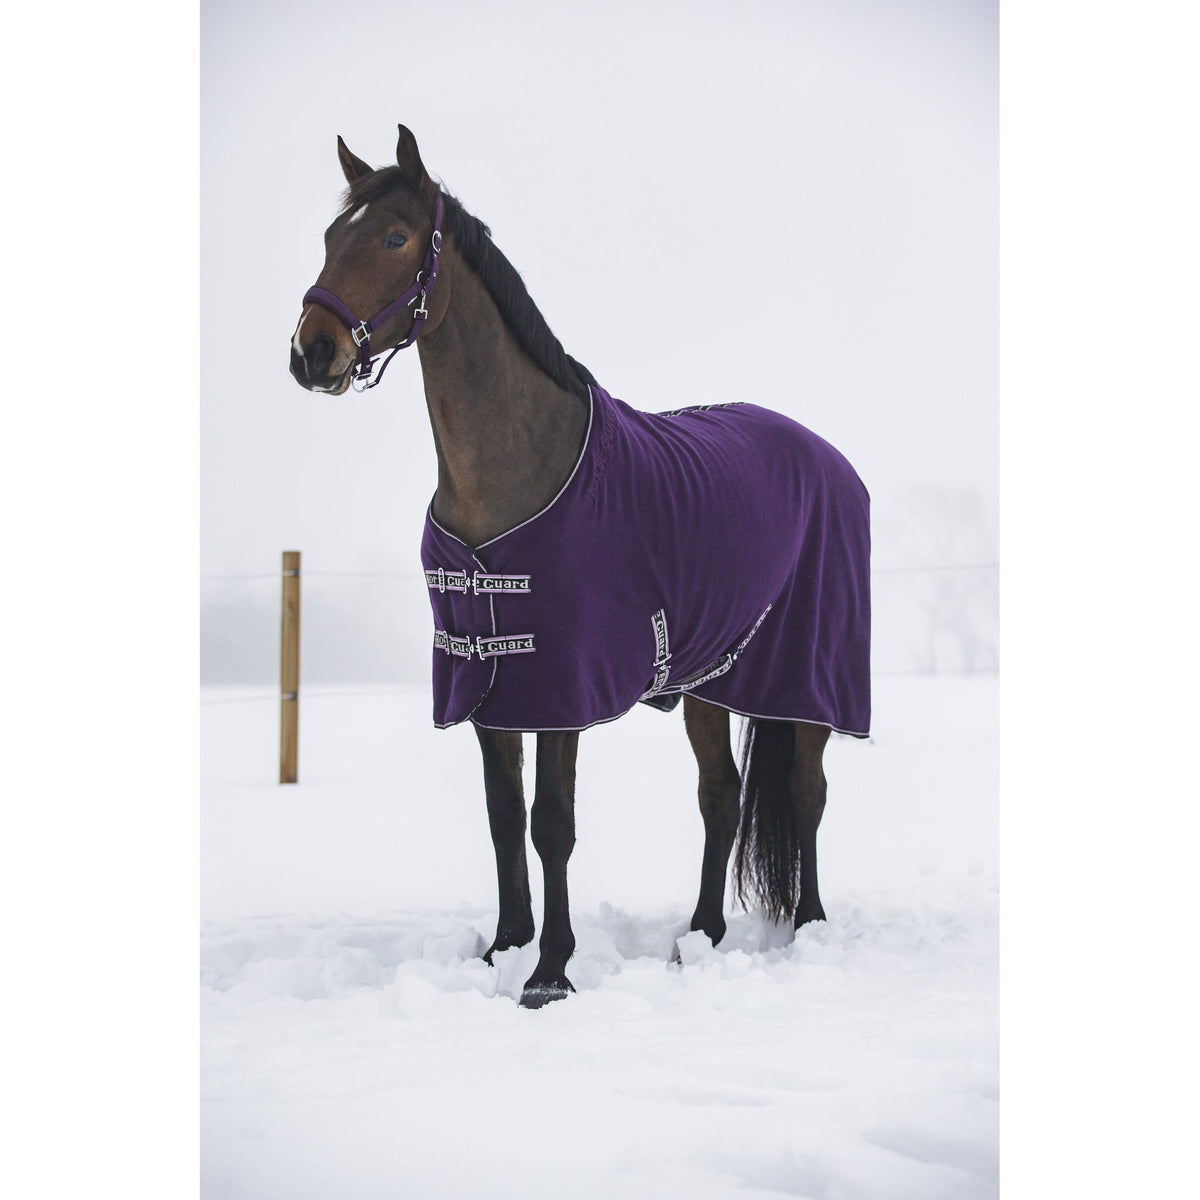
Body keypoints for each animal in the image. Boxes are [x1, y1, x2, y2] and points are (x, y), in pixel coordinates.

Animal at [290, 126, 871, 1009]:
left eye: (393, 238)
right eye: (331, 237)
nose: (311, 352)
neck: (516, 471)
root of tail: (826, 456)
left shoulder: (561, 687)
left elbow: (550, 823)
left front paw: (549, 972)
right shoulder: (491, 689)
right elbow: (503, 817)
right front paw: (503, 948)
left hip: (808, 675)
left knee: (806, 794)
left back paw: (808, 926)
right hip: (711, 680)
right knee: (720, 796)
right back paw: (700, 934)